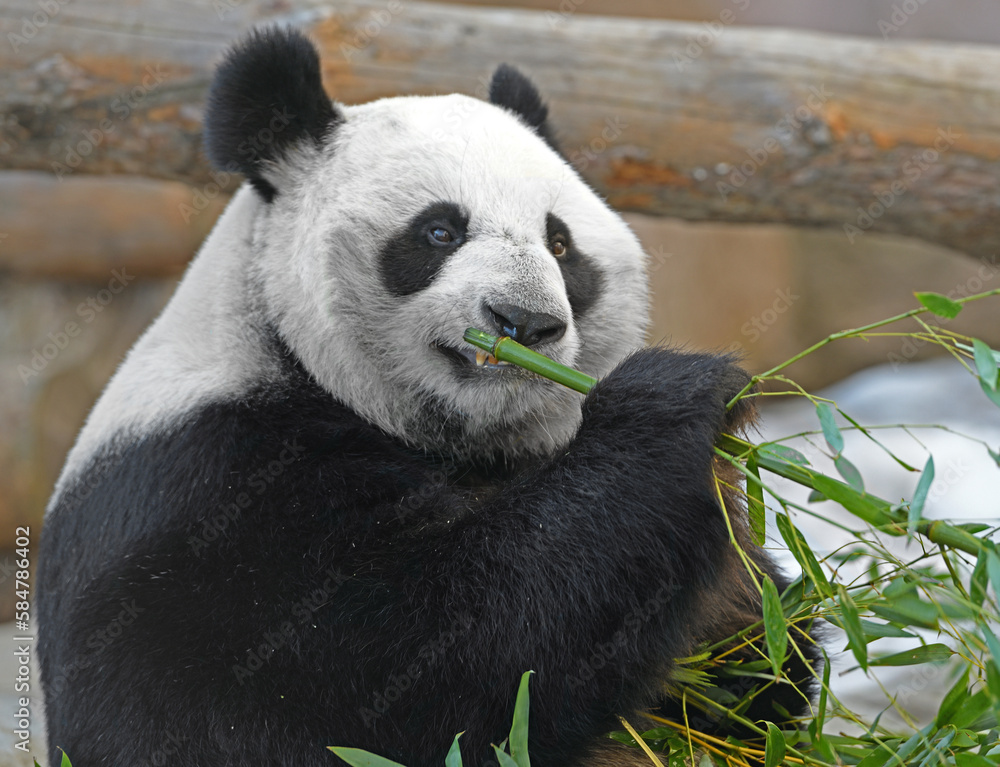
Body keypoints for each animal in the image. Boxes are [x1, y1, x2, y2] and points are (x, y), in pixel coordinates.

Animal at [38, 26, 818, 767]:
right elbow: (427, 667)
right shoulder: (216, 501)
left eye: (560, 244)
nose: (523, 322)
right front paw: (681, 400)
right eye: (440, 230)